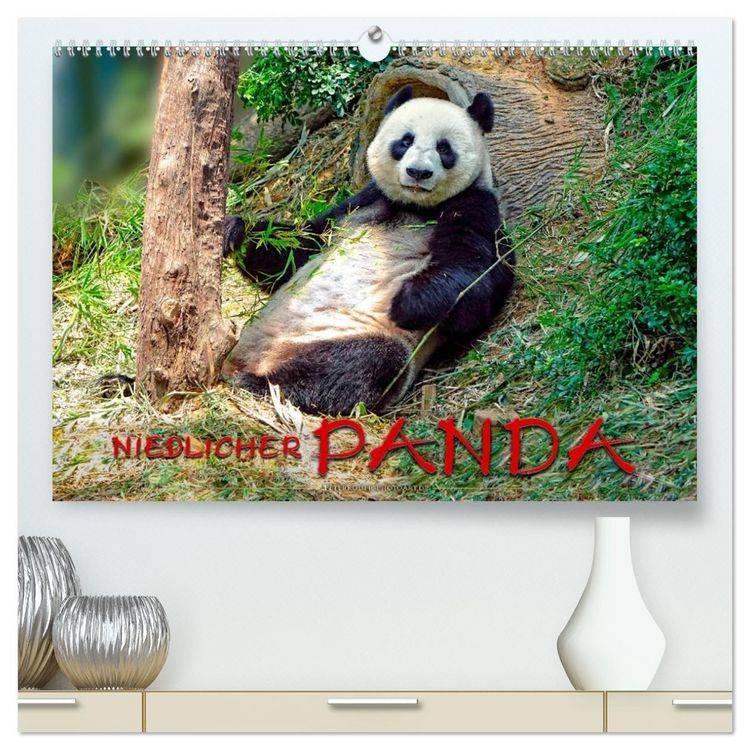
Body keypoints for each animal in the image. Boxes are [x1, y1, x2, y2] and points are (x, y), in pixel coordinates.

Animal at [221, 85, 515, 415]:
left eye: (444, 148)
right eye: (405, 141)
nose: (418, 172)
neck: (415, 206)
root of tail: (257, 358)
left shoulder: (476, 205)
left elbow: (476, 280)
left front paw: (409, 302)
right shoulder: (361, 202)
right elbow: (298, 249)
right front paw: (234, 230)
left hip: (347, 333)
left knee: (356, 364)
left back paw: (261, 384)